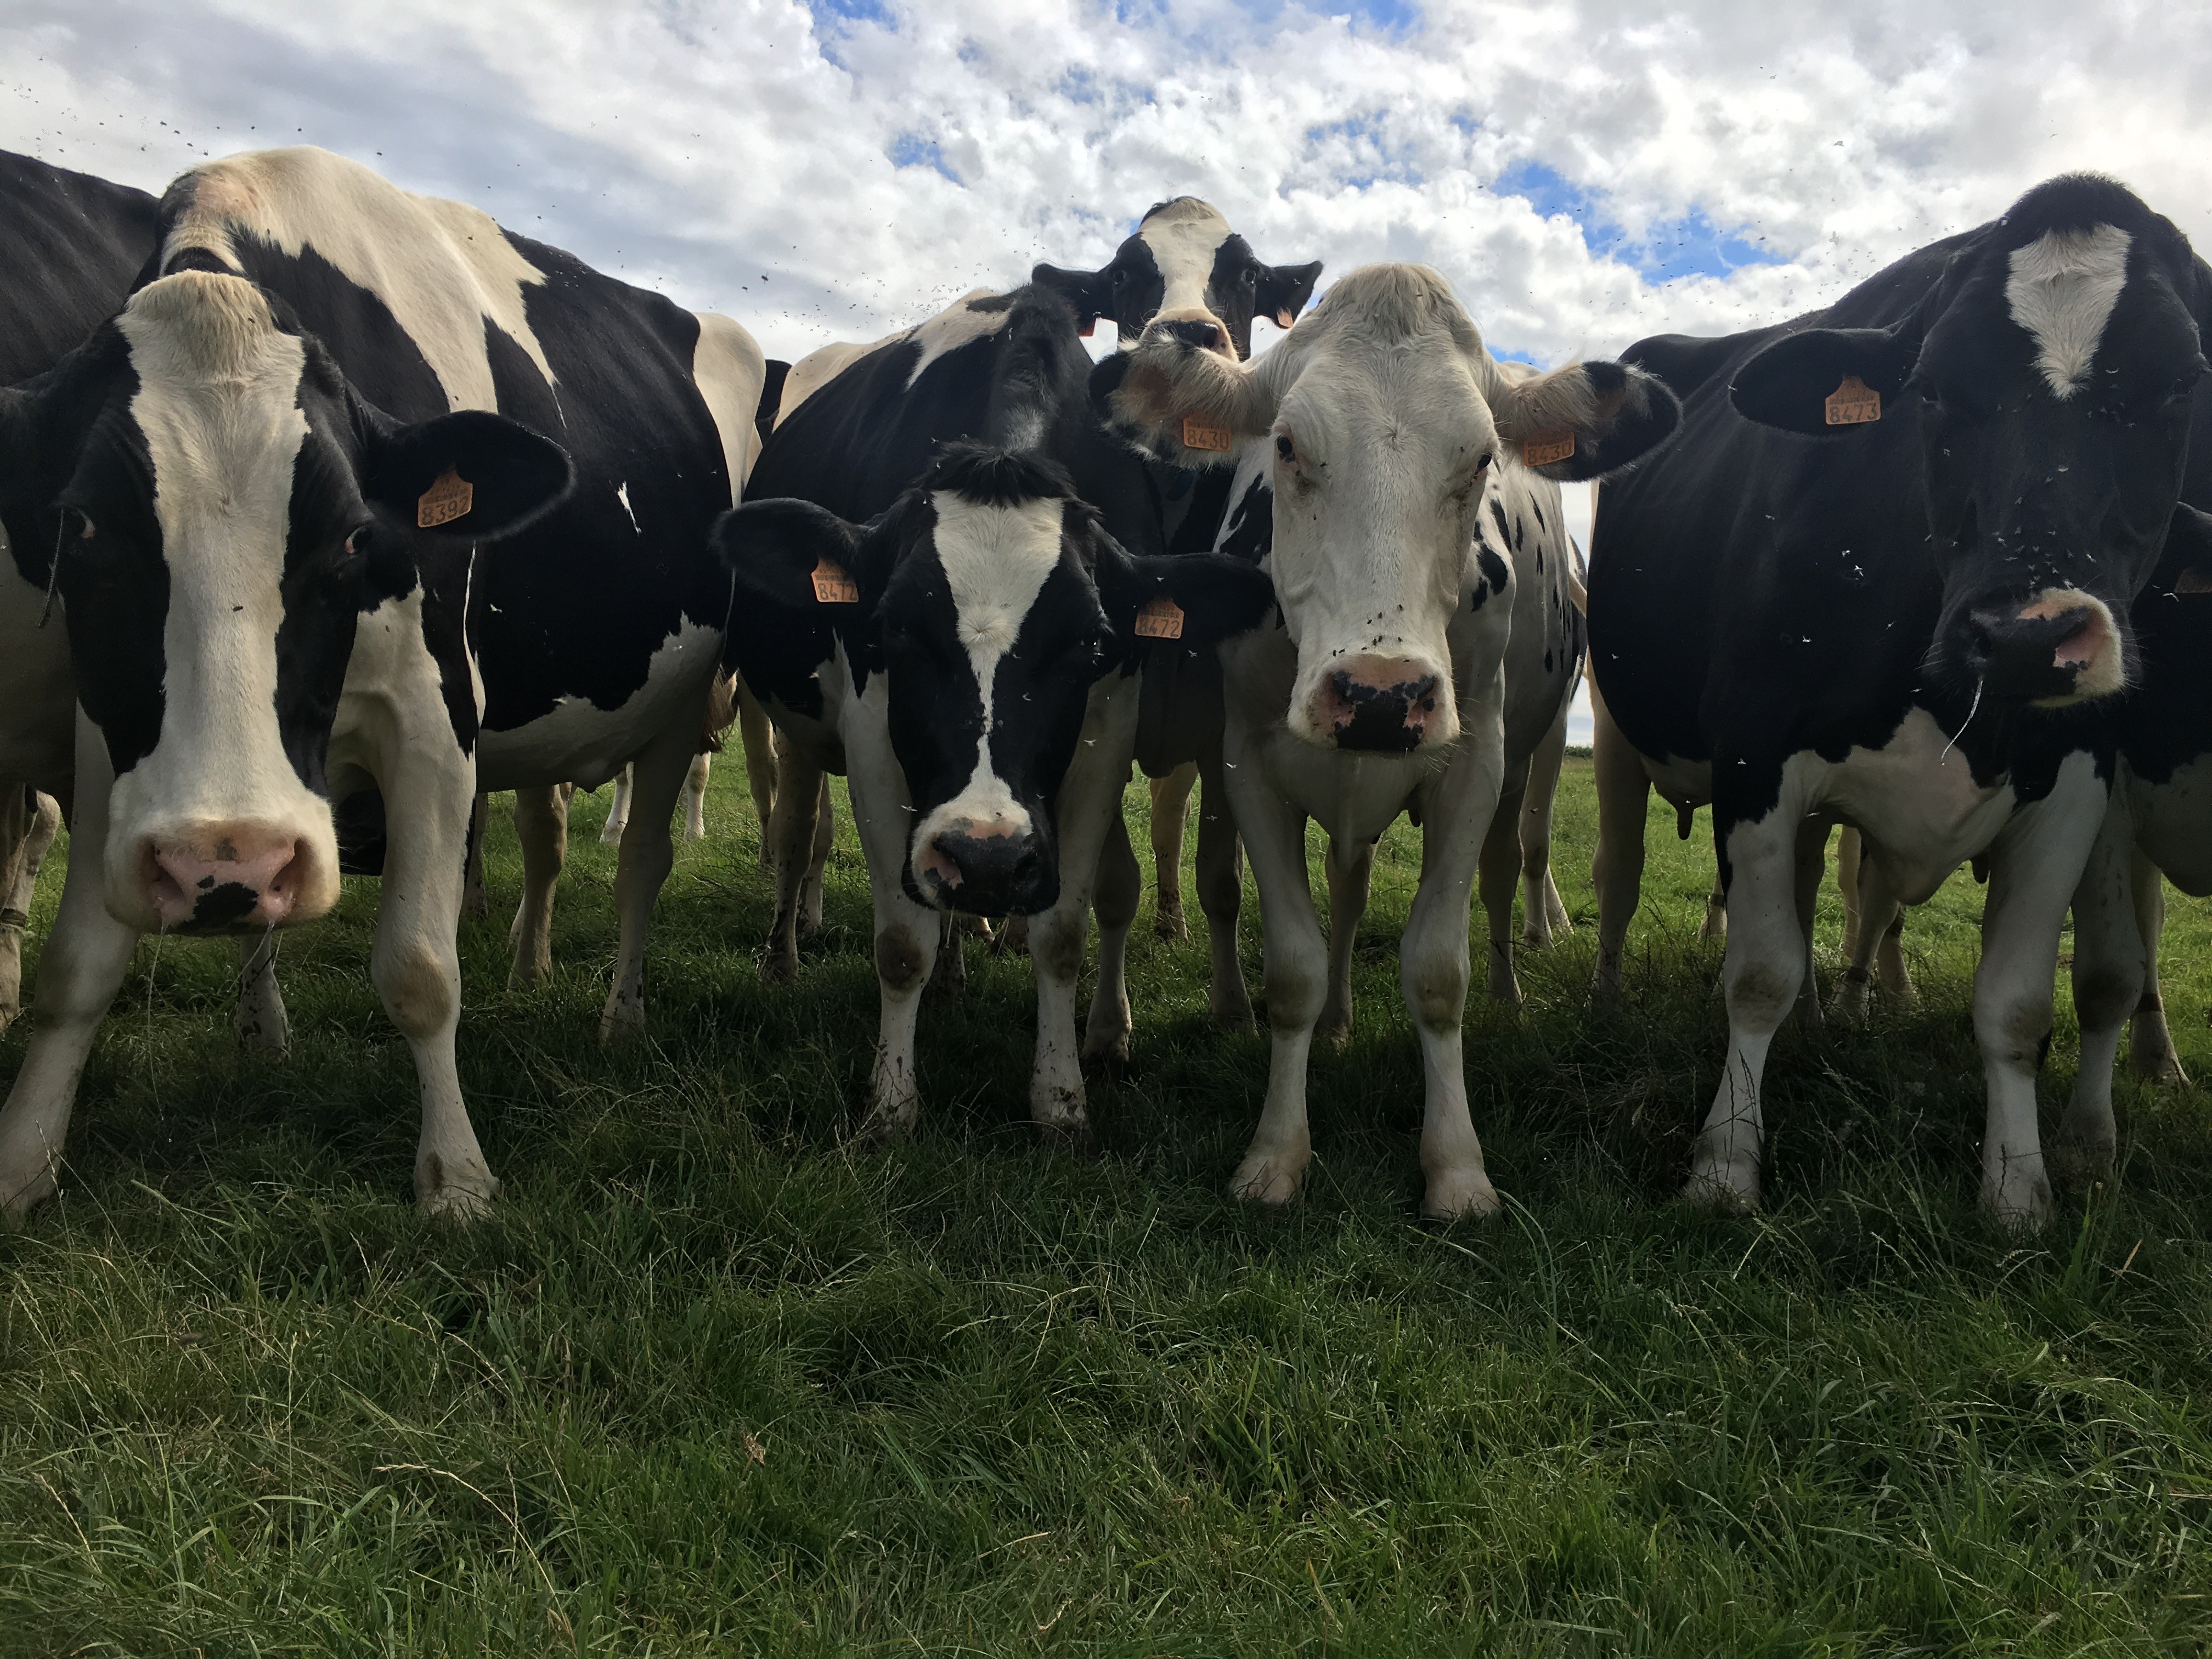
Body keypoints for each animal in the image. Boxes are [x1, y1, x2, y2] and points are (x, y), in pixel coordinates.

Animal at [0, 145, 764, 1224]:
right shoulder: (115, 734)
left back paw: (621, 1016)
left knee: (640, 862)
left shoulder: (434, 719)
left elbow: (420, 966)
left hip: (676, 712)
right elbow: (80, 965)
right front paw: (23, 1159)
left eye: (356, 536)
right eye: (81, 527)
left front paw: (457, 1179)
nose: (221, 860)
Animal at [722, 282, 1273, 1141]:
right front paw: (892, 1103)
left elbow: (1062, 934)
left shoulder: (1106, 726)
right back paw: (783, 956)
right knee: (795, 833)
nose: (984, 859)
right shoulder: (871, 729)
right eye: (896, 628)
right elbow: (900, 941)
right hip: (798, 727)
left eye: (1087, 642)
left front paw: (1061, 1100)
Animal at [1111, 264, 1679, 1217]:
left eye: (1482, 459)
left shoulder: (1474, 762)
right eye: (1287, 446)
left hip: (1520, 769)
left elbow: (1438, 971)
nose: (1382, 696)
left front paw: (1456, 1167)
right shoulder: (1247, 761)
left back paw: (1509, 992)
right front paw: (1276, 1152)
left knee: (1504, 874)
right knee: (1345, 896)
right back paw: (1340, 1019)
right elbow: (1295, 968)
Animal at [1584, 173, 2211, 1228]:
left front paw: (2019, 1191)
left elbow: (2018, 1001)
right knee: (1621, 879)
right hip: (1618, 738)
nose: (2026, 635)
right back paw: (1607, 998)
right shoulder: (1756, 748)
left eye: (2181, 386)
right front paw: (1724, 1163)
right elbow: (1757, 973)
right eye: (1933, 388)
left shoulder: (2077, 785)